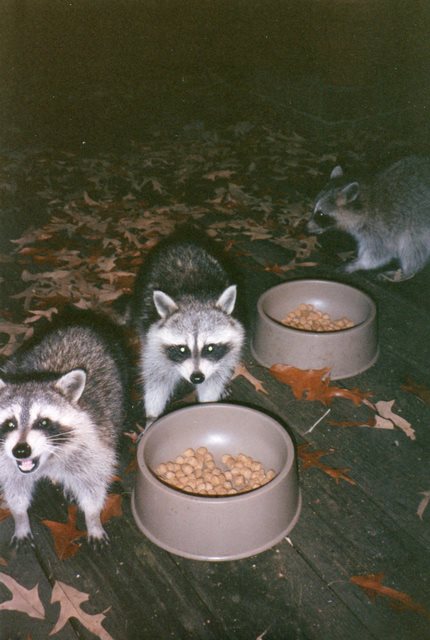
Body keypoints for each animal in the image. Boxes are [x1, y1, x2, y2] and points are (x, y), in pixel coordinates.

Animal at [0, 312, 127, 548]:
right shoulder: (7, 462)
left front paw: (93, 519)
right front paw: (20, 518)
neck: (46, 460)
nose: (21, 451)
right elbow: (15, 488)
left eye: (43, 423)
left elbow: (93, 486)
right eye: (10, 424)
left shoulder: (96, 442)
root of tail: (79, 324)